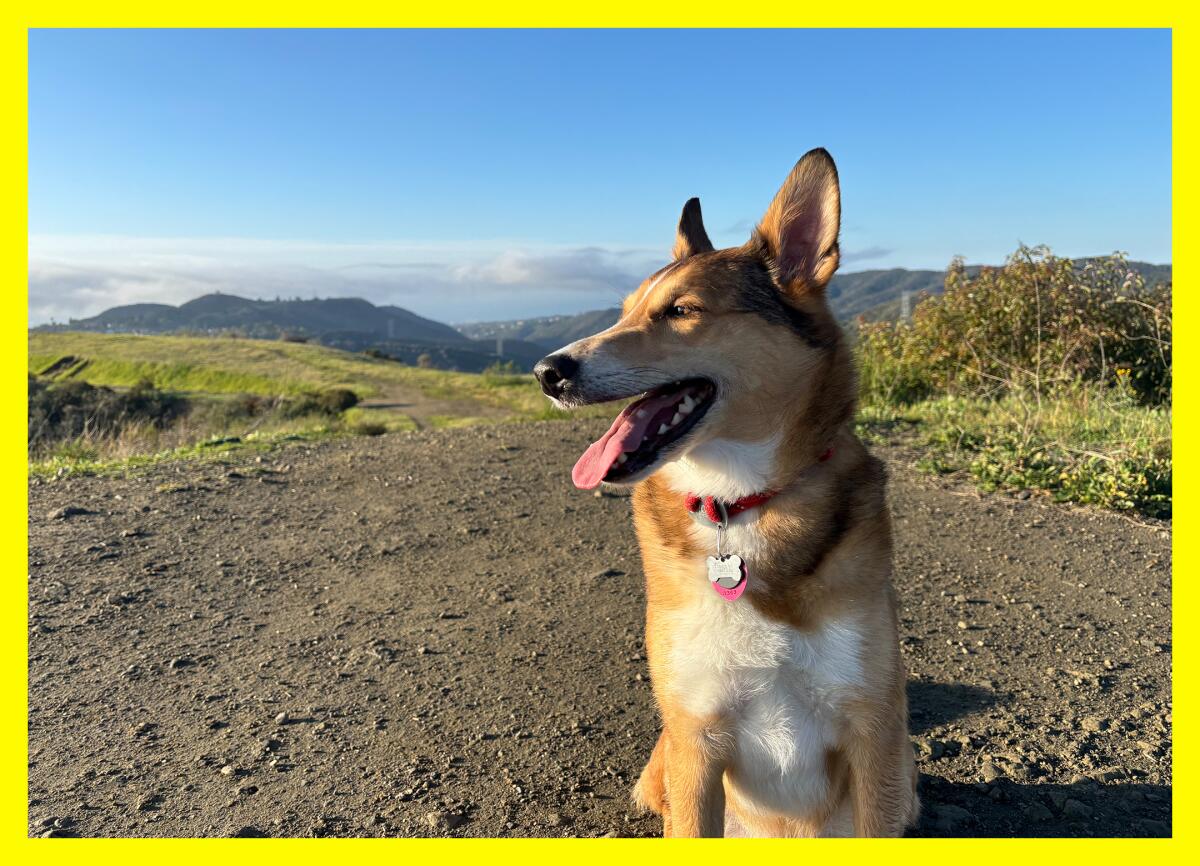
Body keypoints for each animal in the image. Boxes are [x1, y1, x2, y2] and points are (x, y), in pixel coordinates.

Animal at [535, 149, 916, 834]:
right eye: (624, 310)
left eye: (681, 311)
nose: (547, 372)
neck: (738, 505)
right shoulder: (696, 738)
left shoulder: (874, 735)